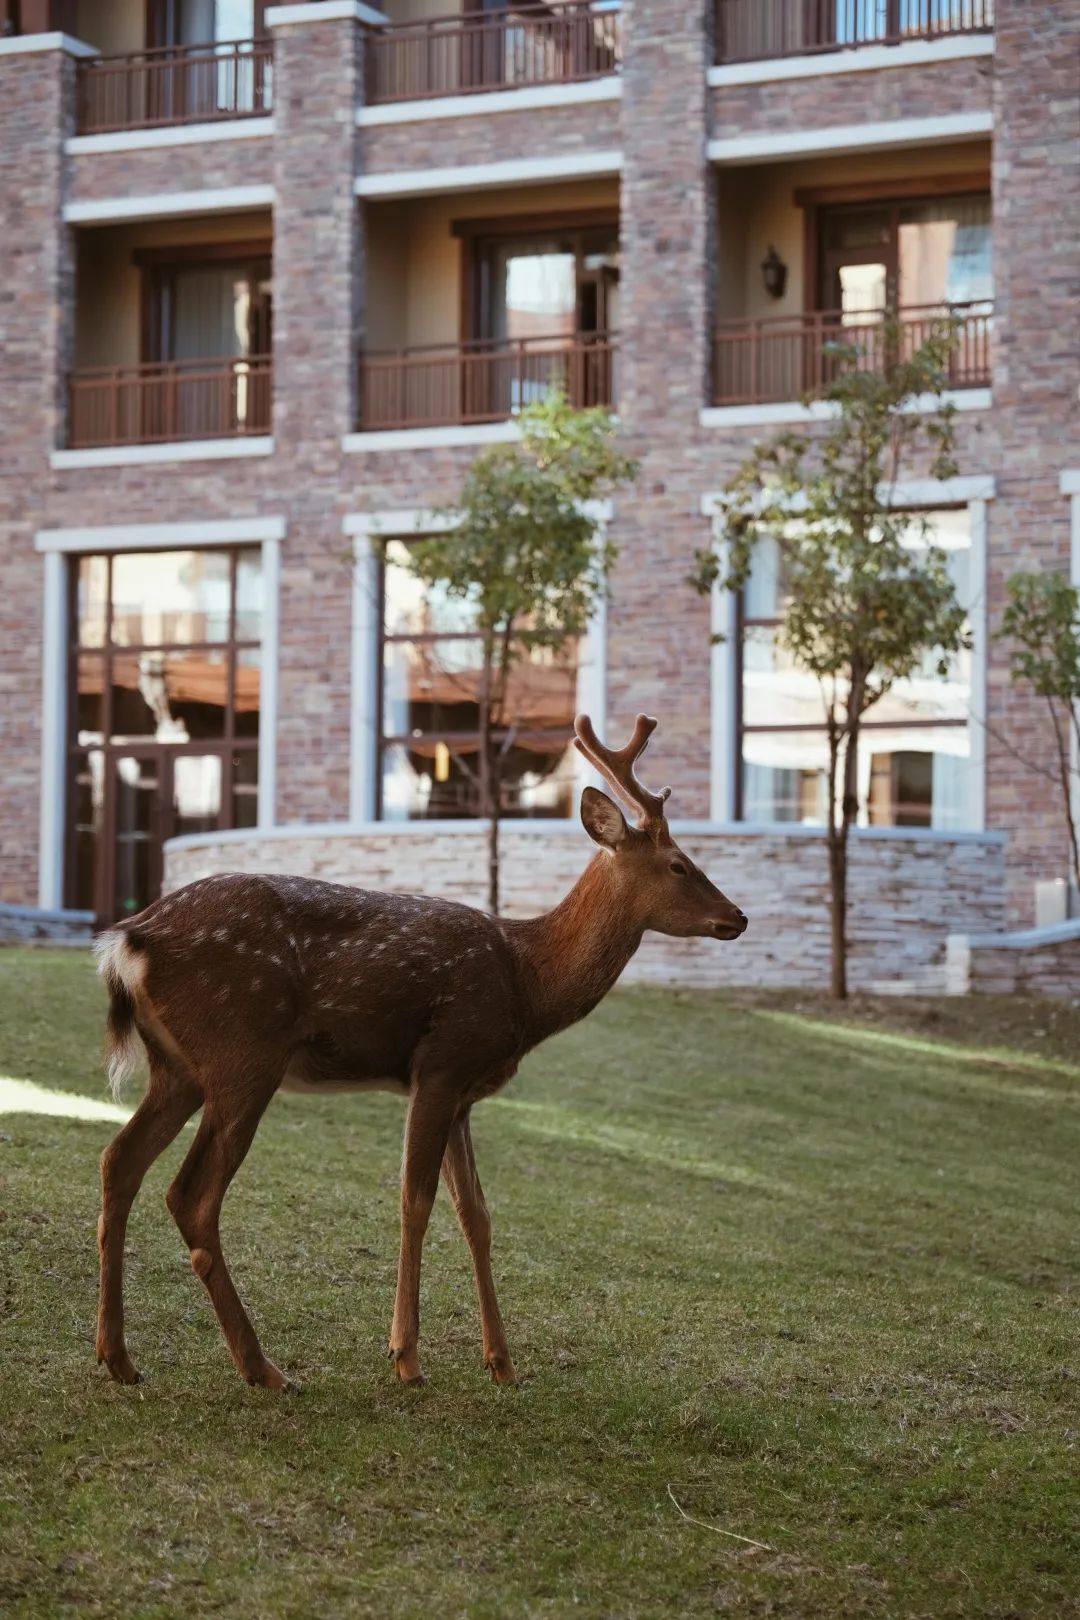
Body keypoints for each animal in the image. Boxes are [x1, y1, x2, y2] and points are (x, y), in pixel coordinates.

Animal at [95, 719, 744, 1393]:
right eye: (679, 864)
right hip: (242, 1055)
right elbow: (415, 1200)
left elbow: (476, 1214)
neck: (528, 982)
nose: (738, 917)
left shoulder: (463, 1093)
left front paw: (502, 1363)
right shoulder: (442, 1063)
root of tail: (127, 942)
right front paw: (405, 1356)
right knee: (190, 1195)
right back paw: (261, 1367)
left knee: (120, 1160)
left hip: (179, 1068)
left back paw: (118, 1357)